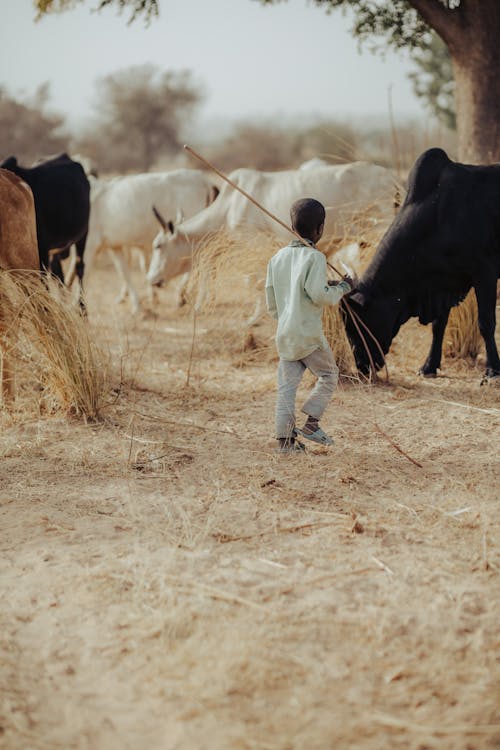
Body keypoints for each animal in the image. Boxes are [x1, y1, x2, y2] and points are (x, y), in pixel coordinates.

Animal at [146, 163, 400, 290]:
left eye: (158, 246)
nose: (151, 279)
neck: (229, 206)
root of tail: (391, 178)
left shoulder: (254, 245)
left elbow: (256, 283)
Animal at [344, 148, 500, 382]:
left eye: (358, 325)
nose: (362, 366)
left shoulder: (485, 273)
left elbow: (486, 323)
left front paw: (492, 370)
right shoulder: (444, 284)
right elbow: (438, 325)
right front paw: (429, 366)